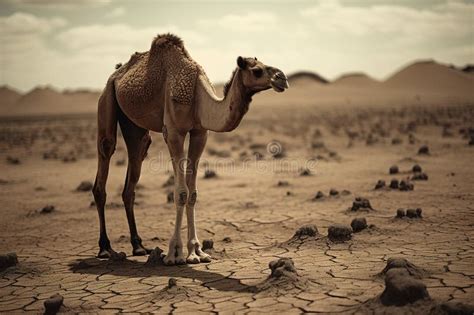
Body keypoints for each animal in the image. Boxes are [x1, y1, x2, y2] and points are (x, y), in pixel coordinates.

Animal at [91, 33, 288, 266]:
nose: (282, 78)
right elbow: (181, 192)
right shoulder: (173, 132)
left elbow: (192, 193)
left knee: (134, 164)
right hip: (107, 99)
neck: (197, 97)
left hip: (134, 127)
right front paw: (174, 253)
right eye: (257, 70)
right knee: (105, 153)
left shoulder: (200, 132)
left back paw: (138, 246)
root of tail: (115, 74)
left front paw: (197, 252)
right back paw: (105, 248)